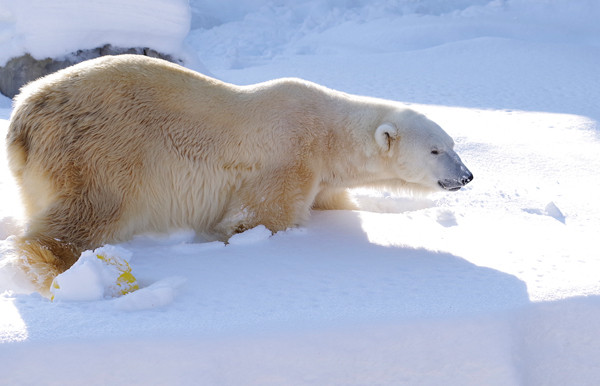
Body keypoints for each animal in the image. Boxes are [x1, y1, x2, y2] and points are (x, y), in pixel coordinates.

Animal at [5, 54, 474, 294]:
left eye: (453, 144)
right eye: (436, 150)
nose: (467, 176)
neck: (327, 132)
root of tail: (24, 112)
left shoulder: (322, 176)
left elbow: (333, 203)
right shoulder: (289, 156)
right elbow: (258, 216)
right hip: (100, 151)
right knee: (87, 212)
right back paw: (59, 270)